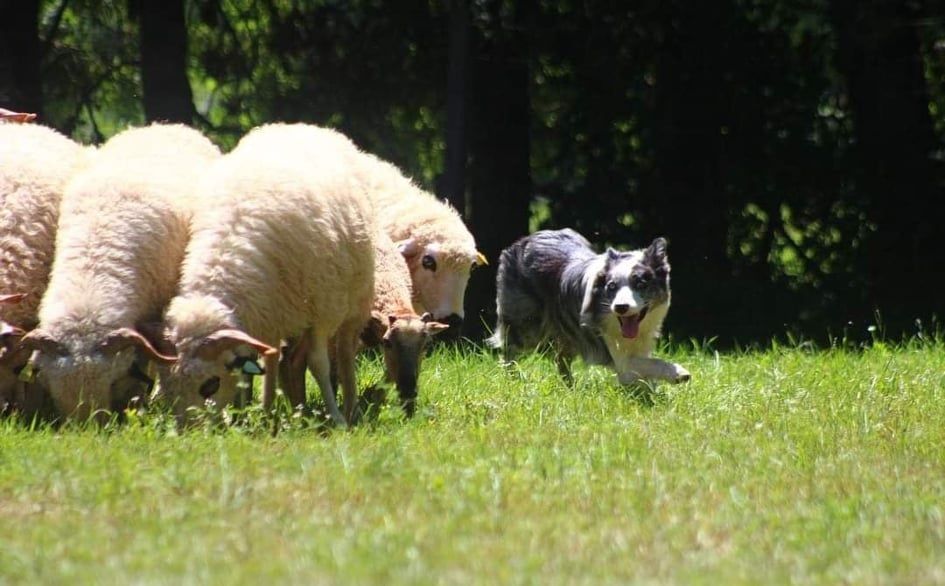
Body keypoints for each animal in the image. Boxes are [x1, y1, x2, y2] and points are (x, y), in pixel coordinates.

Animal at [153, 122, 374, 424]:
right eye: (170, 388)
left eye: (210, 384)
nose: (189, 430)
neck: (228, 255)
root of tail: (299, 126)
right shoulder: (261, 311)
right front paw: (247, 415)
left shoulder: (322, 310)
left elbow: (319, 363)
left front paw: (337, 419)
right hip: (274, 309)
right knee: (273, 357)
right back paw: (269, 408)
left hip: (354, 299)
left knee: (345, 352)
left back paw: (351, 408)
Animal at [486, 230, 684, 386]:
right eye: (611, 286)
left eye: (641, 284)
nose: (620, 307)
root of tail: (525, 239)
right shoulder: (613, 351)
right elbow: (647, 363)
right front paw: (678, 373)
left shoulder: (641, 342)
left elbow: (644, 372)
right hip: (527, 325)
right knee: (509, 350)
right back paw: (512, 379)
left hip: (569, 333)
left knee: (560, 359)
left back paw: (570, 387)